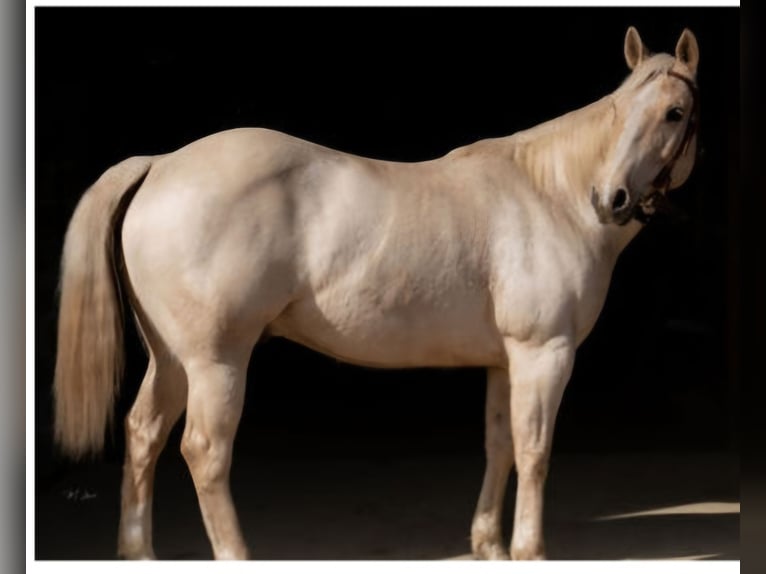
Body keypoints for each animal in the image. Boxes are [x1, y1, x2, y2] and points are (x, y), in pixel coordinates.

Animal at [53, 26, 700, 560]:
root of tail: (161, 163)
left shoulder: (506, 359)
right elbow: (534, 450)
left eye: (674, 112)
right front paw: (528, 551)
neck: (548, 194)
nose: (611, 200)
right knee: (205, 453)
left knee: (143, 434)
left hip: (171, 360)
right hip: (217, 362)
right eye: (619, 108)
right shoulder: (545, 354)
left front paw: (489, 545)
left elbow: (500, 445)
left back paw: (140, 552)